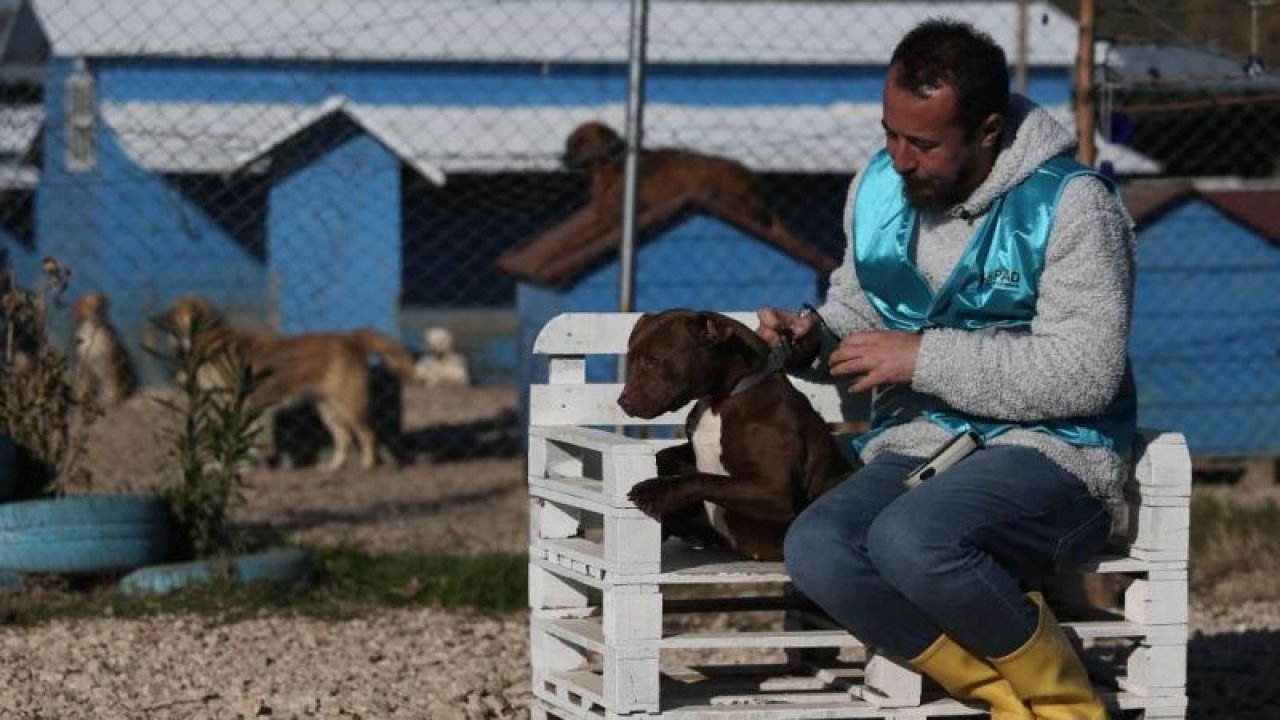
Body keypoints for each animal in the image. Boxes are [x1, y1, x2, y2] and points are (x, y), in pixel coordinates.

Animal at [157, 293, 412, 468]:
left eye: (173, 313)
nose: (155, 318)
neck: (214, 344)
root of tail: (350, 339)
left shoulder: (238, 405)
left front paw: (237, 465)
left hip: (348, 405)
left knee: (367, 434)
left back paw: (367, 465)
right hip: (327, 409)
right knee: (344, 438)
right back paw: (333, 468)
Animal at [563, 121, 839, 272]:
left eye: (580, 143)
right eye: (568, 145)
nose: (563, 157)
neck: (612, 165)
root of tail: (757, 187)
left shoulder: (606, 220)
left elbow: (578, 238)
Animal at [616, 304, 855, 558]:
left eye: (654, 360)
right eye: (631, 360)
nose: (623, 403)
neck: (720, 401)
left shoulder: (775, 490)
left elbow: (705, 479)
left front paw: (655, 491)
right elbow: (667, 455)